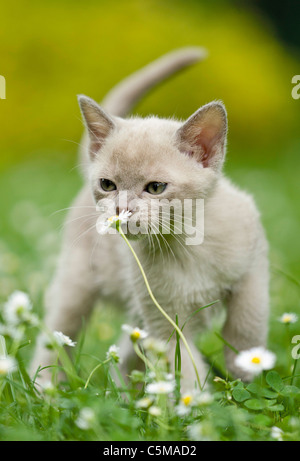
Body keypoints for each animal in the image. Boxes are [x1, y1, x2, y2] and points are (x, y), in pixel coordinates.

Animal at [30, 48, 270, 390]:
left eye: (156, 188)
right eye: (108, 185)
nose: (121, 210)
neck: (187, 245)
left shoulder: (254, 267)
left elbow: (247, 324)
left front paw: (246, 374)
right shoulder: (166, 320)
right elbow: (185, 369)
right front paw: (197, 402)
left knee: (127, 349)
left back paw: (124, 392)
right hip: (77, 285)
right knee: (56, 340)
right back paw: (45, 391)